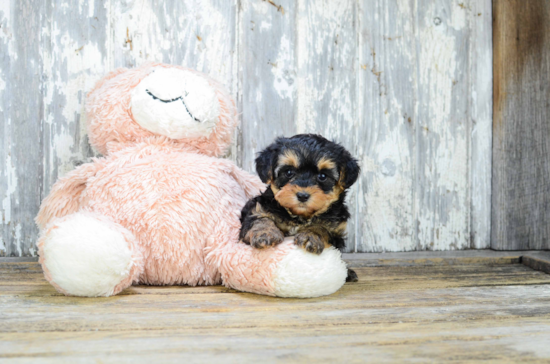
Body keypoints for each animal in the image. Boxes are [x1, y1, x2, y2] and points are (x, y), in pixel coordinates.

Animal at [240, 133, 362, 282]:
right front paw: (265, 233)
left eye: (322, 176)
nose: (303, 195)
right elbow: (260, 217)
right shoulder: (258, 206)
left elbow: (322, 227)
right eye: (288, 172)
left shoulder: (336, 229)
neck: (300, 216)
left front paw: (311, 234)